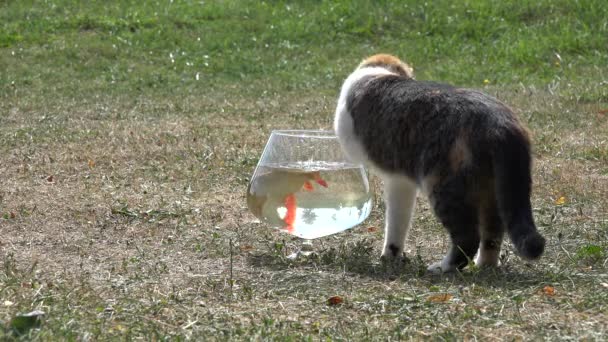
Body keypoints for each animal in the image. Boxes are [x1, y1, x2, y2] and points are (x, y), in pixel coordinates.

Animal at [332, 53, 548, 272]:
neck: (380, 72)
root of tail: (500, 123)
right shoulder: (402, 180)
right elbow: (399, 221)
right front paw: (392, 256)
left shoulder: (395, 178)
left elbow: (394, 221)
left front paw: (389, 257)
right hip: (493, 189)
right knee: (493, 233)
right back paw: (484, 266)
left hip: (442, 184)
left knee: (468, 237)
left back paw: (445, 267)